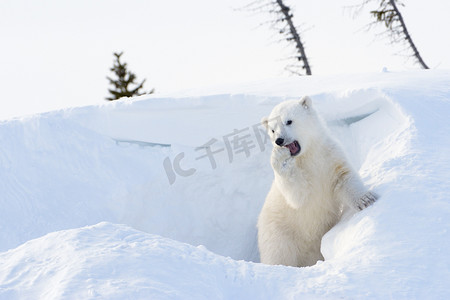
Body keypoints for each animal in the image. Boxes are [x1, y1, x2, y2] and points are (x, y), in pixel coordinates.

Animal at [256, 96, 376, 268]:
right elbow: (297, 195)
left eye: (289, 121)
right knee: (279, 256)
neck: (308, 154)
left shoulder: (330, 155)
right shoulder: (301, 175)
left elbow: (344, 177)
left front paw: (366, 200)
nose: (279, 140)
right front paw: (281, 159)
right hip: (280, 235)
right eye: (272, 130)